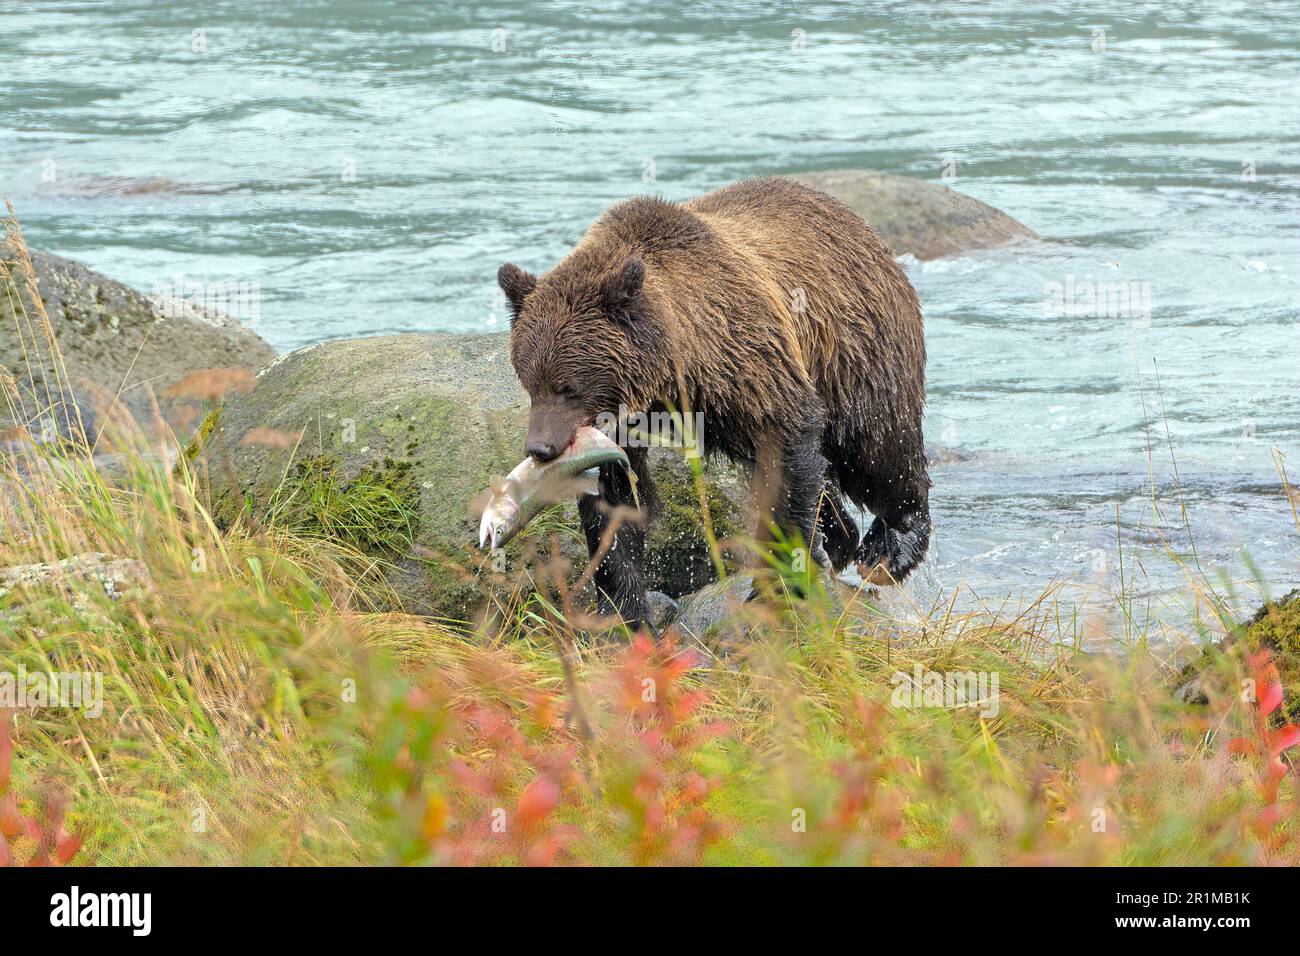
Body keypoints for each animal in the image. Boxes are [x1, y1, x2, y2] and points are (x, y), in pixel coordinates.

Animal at [491, 175, 930, 632]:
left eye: (568, 387)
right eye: (530, 382)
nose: (540, 447)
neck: (676, 368)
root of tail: (865, 229)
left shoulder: (750, 363)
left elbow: (790, 445)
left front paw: (774, 586)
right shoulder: (626, 427)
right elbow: (617, 504)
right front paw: (625, 615)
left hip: (855, 348)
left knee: (876, 446)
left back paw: (889, 548)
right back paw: (839, 537)